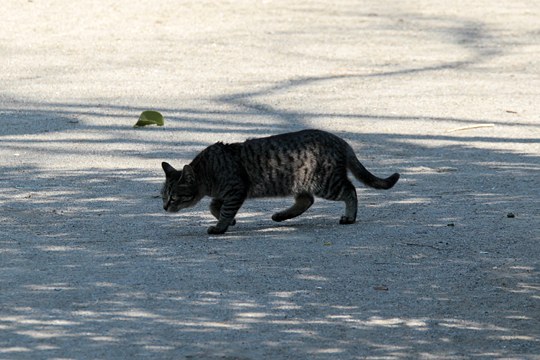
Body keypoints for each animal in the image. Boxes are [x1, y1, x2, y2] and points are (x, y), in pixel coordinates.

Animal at [158, 128, 398, 235]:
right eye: (163, 196)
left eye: (174, 197)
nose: (164, 207)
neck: (206, 172)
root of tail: (339, 139)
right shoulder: (225, 193)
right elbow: (214, 206)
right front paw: (230, 221)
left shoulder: (235, 189)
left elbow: (224, 210)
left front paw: (220, 227)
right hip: (302, 182)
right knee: (306, 200)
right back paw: (281, 216)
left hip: (327, 182)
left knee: (350, 191)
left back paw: (350, 217)